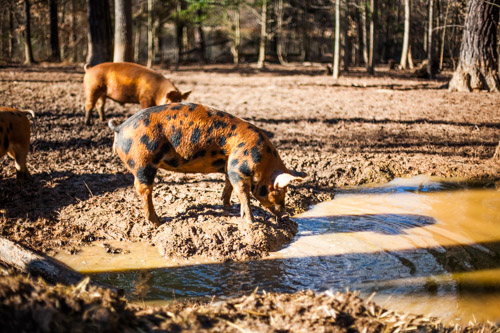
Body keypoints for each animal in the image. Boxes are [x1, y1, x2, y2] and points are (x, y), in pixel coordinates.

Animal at [107, 102, 306, 224]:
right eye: (280, 190)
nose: (286, 214)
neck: (263, 162)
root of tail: (121, 127)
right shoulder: (237, 168)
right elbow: (243, 192)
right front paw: (250, 221)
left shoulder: (229, 166)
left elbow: (228, 185)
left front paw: (228, 206)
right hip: (143, 161)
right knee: (142, 189)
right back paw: (157, 221)